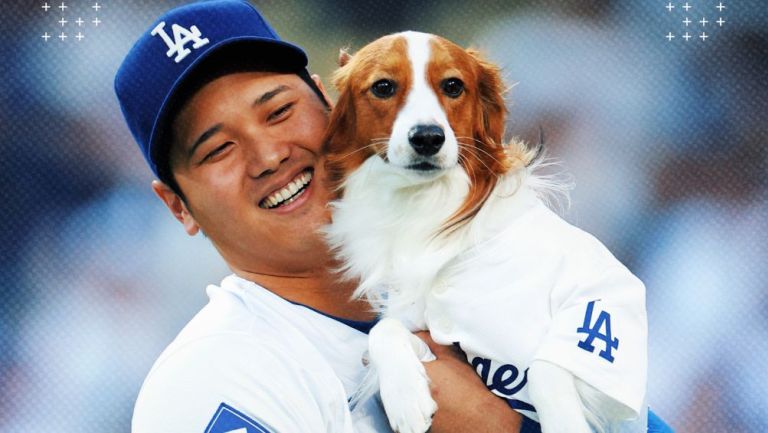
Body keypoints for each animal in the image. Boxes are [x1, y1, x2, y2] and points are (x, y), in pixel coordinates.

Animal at [322, 31, 648, 432]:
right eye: (383, 87)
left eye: (452, 85)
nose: (427, 137)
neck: (431, 210)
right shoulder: (419, 324)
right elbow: (383, 331)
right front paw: (406, 397)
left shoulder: (606, 300)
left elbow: (546, 366)